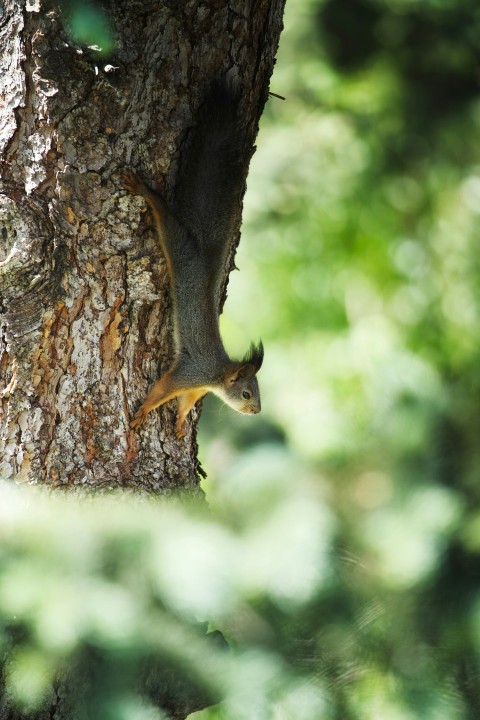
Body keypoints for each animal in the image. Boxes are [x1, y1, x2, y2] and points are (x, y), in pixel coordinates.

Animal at [122, 81, 264, 436]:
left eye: (258, 392)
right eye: (246, 393)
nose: (257, 411)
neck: (216, 378)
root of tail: (202, 252)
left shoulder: (197, 387)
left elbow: (185, 402)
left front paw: (180, 421)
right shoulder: (189, 372)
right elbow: (162, 389)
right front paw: (144, 411)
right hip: (178, 245)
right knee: (165, 218)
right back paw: (146, 192)